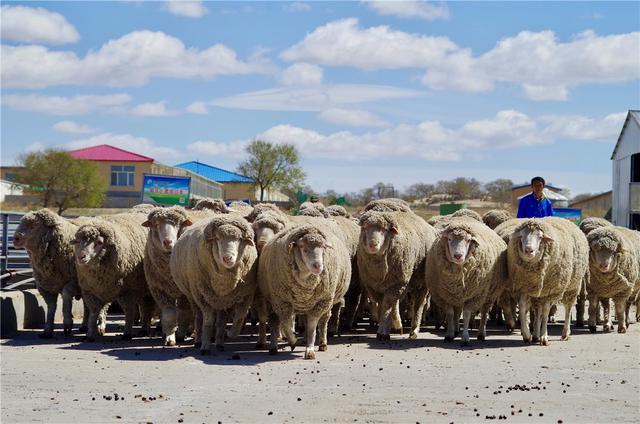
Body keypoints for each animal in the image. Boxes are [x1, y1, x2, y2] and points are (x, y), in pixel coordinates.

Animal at [12, 210, 92, 338]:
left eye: (35, 225)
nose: (15, 239)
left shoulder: (74, 281)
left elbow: (66, 295)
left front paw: (68, 323)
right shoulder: (45, 286)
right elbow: (51, 307)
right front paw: (48, 330)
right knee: (86, 305)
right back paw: (84, 326)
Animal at [72, 212, 154, 342]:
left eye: (99, 242)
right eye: (78, 241)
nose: (81, 257)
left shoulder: (128, 290)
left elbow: (129, 311)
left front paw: (127, 333)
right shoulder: (92, 291)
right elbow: (94, 312)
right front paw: (90, 334)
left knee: (146, 307)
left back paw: (145, 329)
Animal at [141, 207, 196, 346]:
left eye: (178, 224)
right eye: (156, 224)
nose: (168, 242)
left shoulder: (185, 292)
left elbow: (184, 312)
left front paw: (180, 334)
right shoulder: (159, 289)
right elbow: (169, 314)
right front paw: (170, 337)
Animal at [258, 224, 352, 360]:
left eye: (323, 247)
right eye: (302, 247)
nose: (318, 266)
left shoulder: (320, 303)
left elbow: (312, 326)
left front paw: (310, 350)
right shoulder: (281, 302)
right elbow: (286, 324)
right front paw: (294, 341)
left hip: (326, 301)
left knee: (323, 321)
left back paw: (322, 343)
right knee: (276, 321)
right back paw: (274, 347)